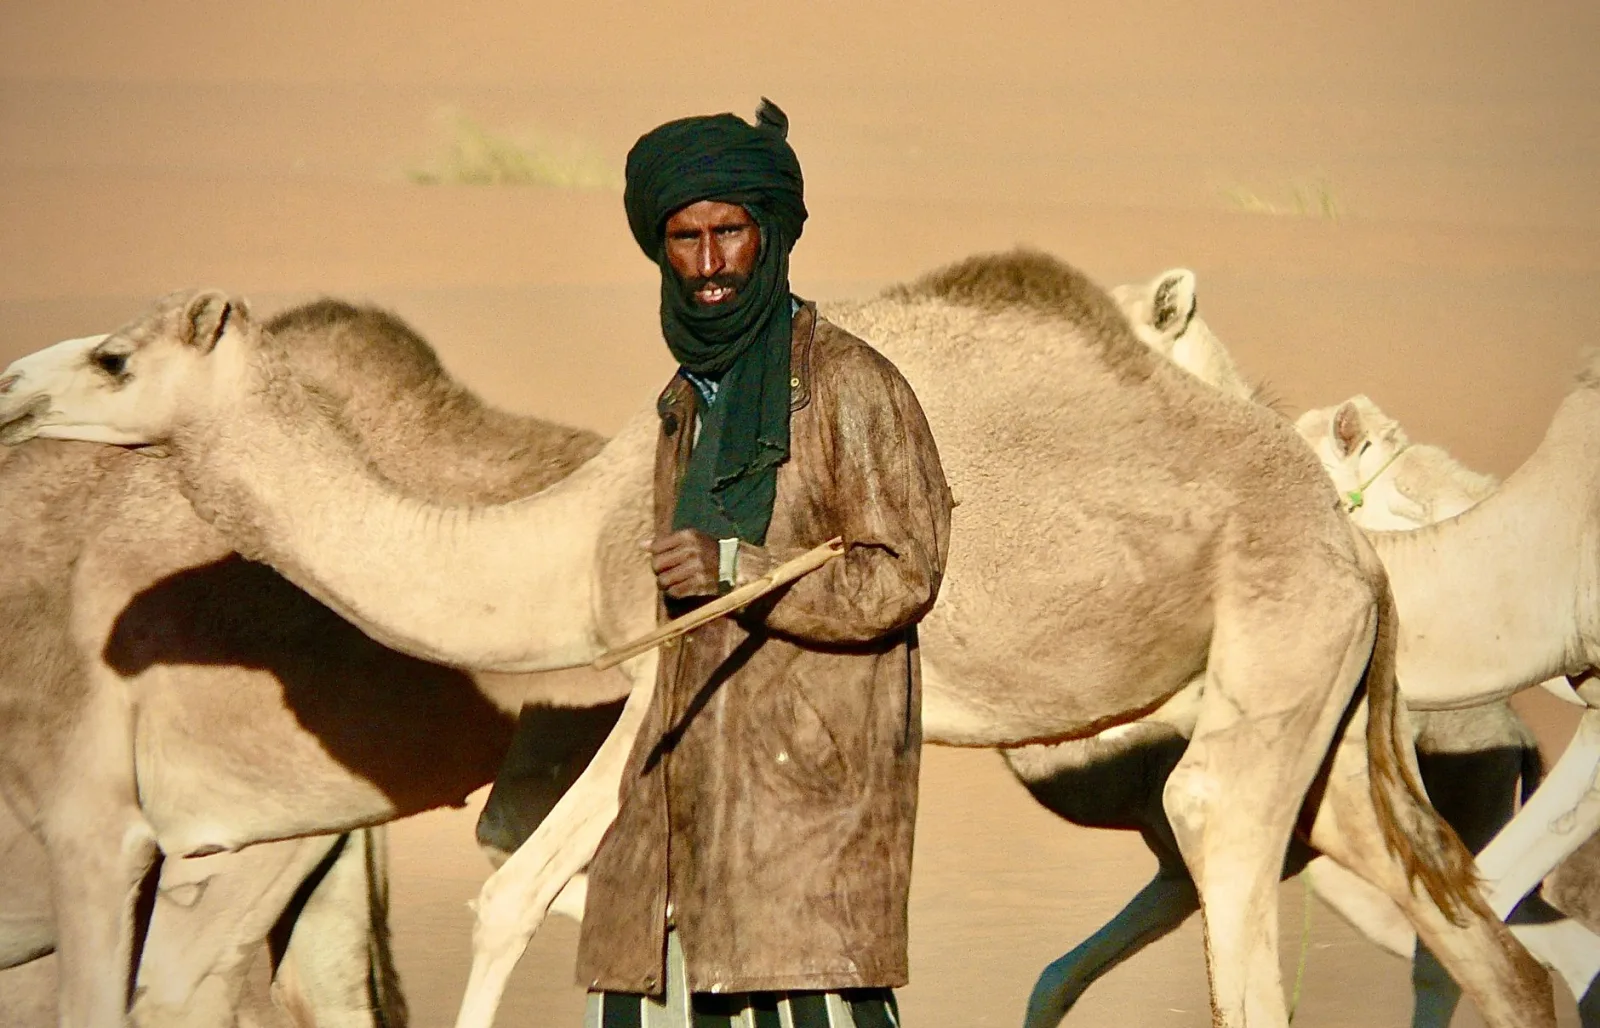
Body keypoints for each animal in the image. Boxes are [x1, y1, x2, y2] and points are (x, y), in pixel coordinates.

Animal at [0, 252, 1554, 1028]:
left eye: (117, 356)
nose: (13, 384)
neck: (552, 535)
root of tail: (1361, 552)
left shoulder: (662, 668)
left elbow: (510, 901)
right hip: (1326, 714)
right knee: (1500, 958)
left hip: (1272, 655)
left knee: (1219, 831)